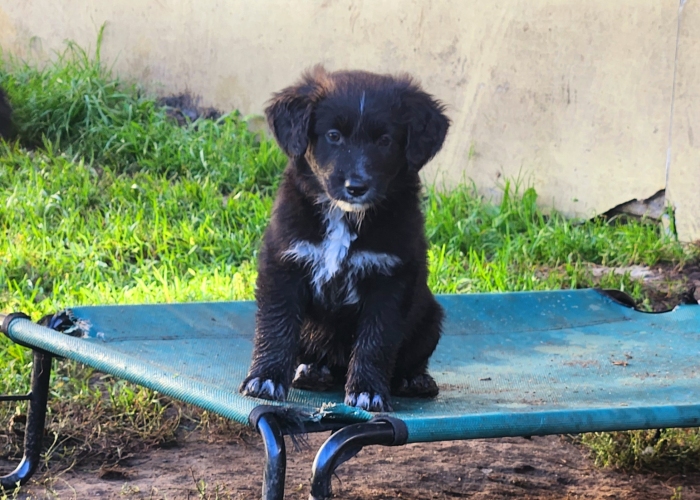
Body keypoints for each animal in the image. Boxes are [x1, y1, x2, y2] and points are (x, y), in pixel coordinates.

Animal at [241, 65, 448, 410]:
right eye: (333, 136)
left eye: (385, 141)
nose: (356, 186)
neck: (344, 216)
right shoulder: (283, 263)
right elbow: (276, 325)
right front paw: (265, 379)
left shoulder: (391, 278)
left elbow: (376, 340)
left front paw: (368, 391)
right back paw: (312, 371)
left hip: (431, 316)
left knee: (409, 360)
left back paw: (415, 381)